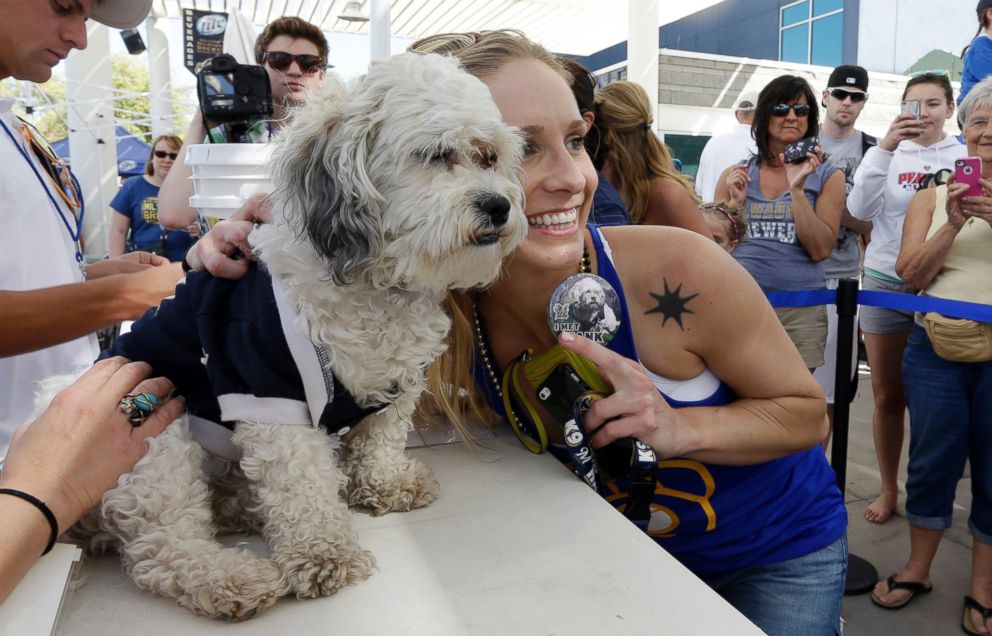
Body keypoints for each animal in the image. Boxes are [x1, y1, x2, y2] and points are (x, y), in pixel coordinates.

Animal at [43, 54, 532, 620]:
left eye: (489, 156)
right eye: (435, 155)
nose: (499, 206)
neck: (375, 284)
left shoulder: (397, 385)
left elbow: (380, 440)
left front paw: (385, 485)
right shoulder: (266, 385)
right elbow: (301, 483)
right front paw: (324, 552)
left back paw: (243, 507)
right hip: (148, 431)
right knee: (161, 548)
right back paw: (231, 576)